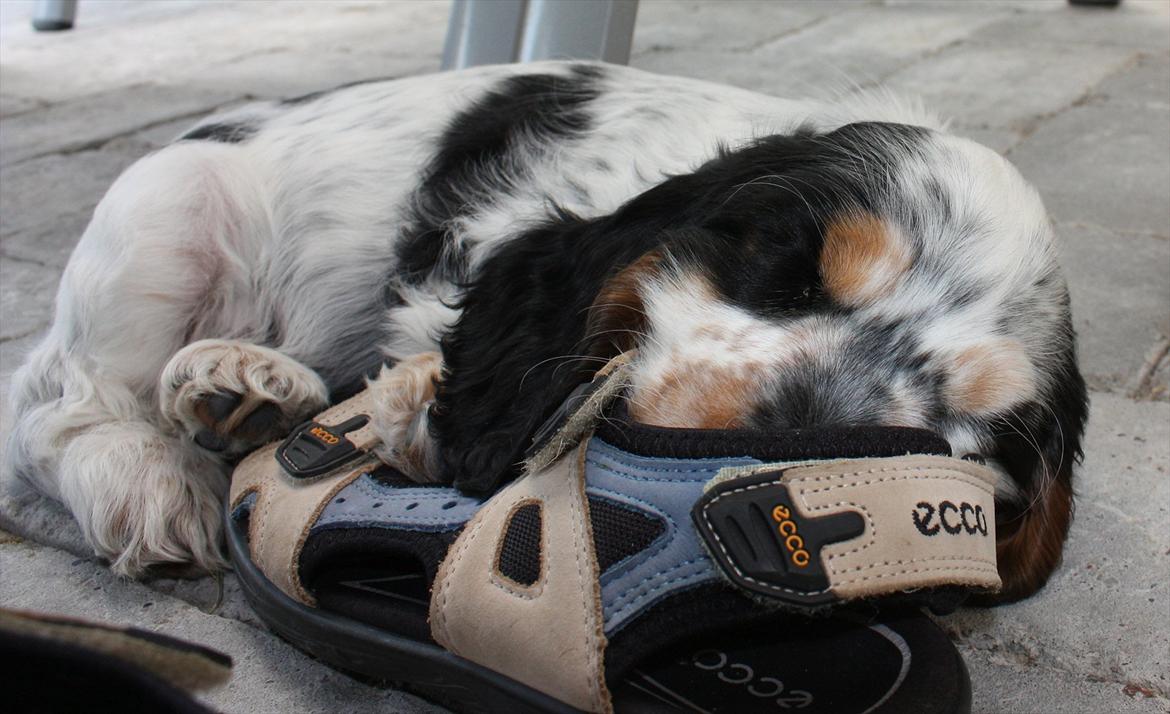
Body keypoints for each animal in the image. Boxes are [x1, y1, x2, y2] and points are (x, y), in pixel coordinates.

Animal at [6, 61, 1085, 596]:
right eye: (789, 266)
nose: (794, 459)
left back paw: (245, 389)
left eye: (966, 433)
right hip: (168, 206)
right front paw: (416, 411)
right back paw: (152, 475)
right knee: (50, 402)